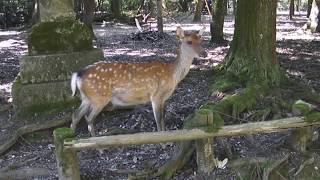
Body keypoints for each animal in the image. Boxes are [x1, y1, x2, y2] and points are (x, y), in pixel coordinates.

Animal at [70, 26, 205, 136]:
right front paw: (162, 140)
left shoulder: (163, 98)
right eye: (189, 42)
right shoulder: (156, 95)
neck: (172, 75)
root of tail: (78, 74)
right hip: (99, 97)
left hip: (87, 97)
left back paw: (71, 136)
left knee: (76, 114)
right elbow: (158, 120)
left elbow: (162, 118)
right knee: (88, 118)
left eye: (201, 40)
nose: (204, 53)